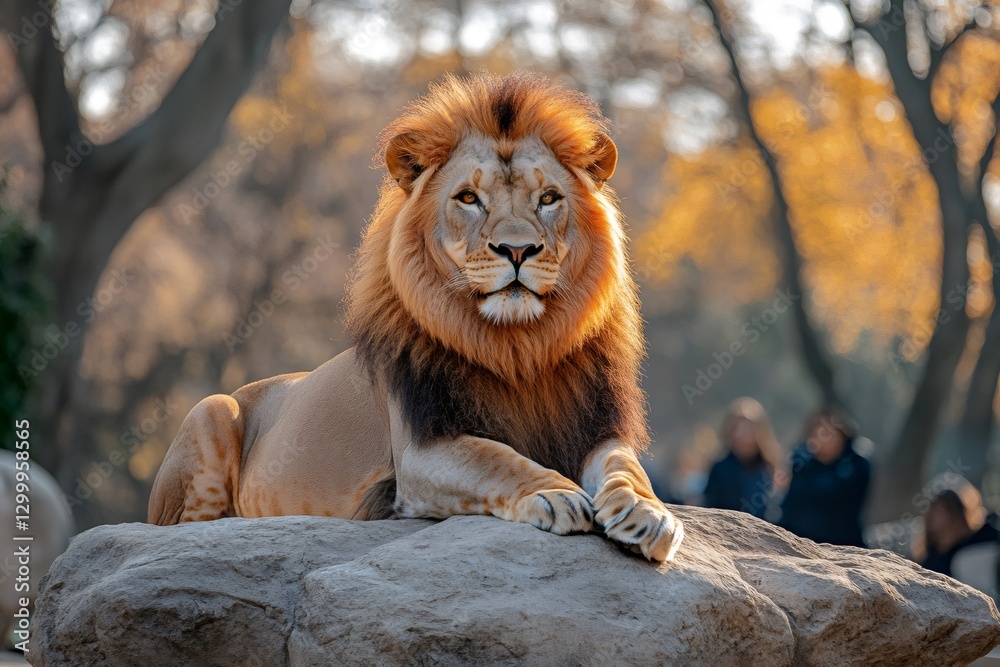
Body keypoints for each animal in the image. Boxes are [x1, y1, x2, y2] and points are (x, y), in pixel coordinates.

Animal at [148, 72, 683, 562]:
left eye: (548, 198)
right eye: (468, 198)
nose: (517, 250)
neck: (517, 347)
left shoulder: (596, 427)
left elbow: (626, 467)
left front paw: (647, 513)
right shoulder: (419, 452)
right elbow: (496, 458)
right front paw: (555, 493)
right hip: (212, 410)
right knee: (187, 532)